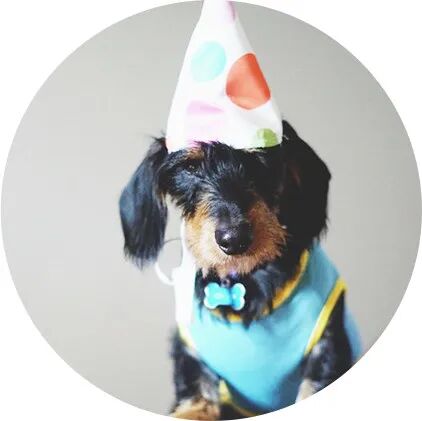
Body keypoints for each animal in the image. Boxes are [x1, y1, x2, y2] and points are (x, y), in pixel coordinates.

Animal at [119, 120, 360, 419]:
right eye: (190, 167)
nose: (234, 239)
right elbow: (195, 397)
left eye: (260, 158)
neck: (245, 282)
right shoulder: (190, 357)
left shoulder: (327, 348)